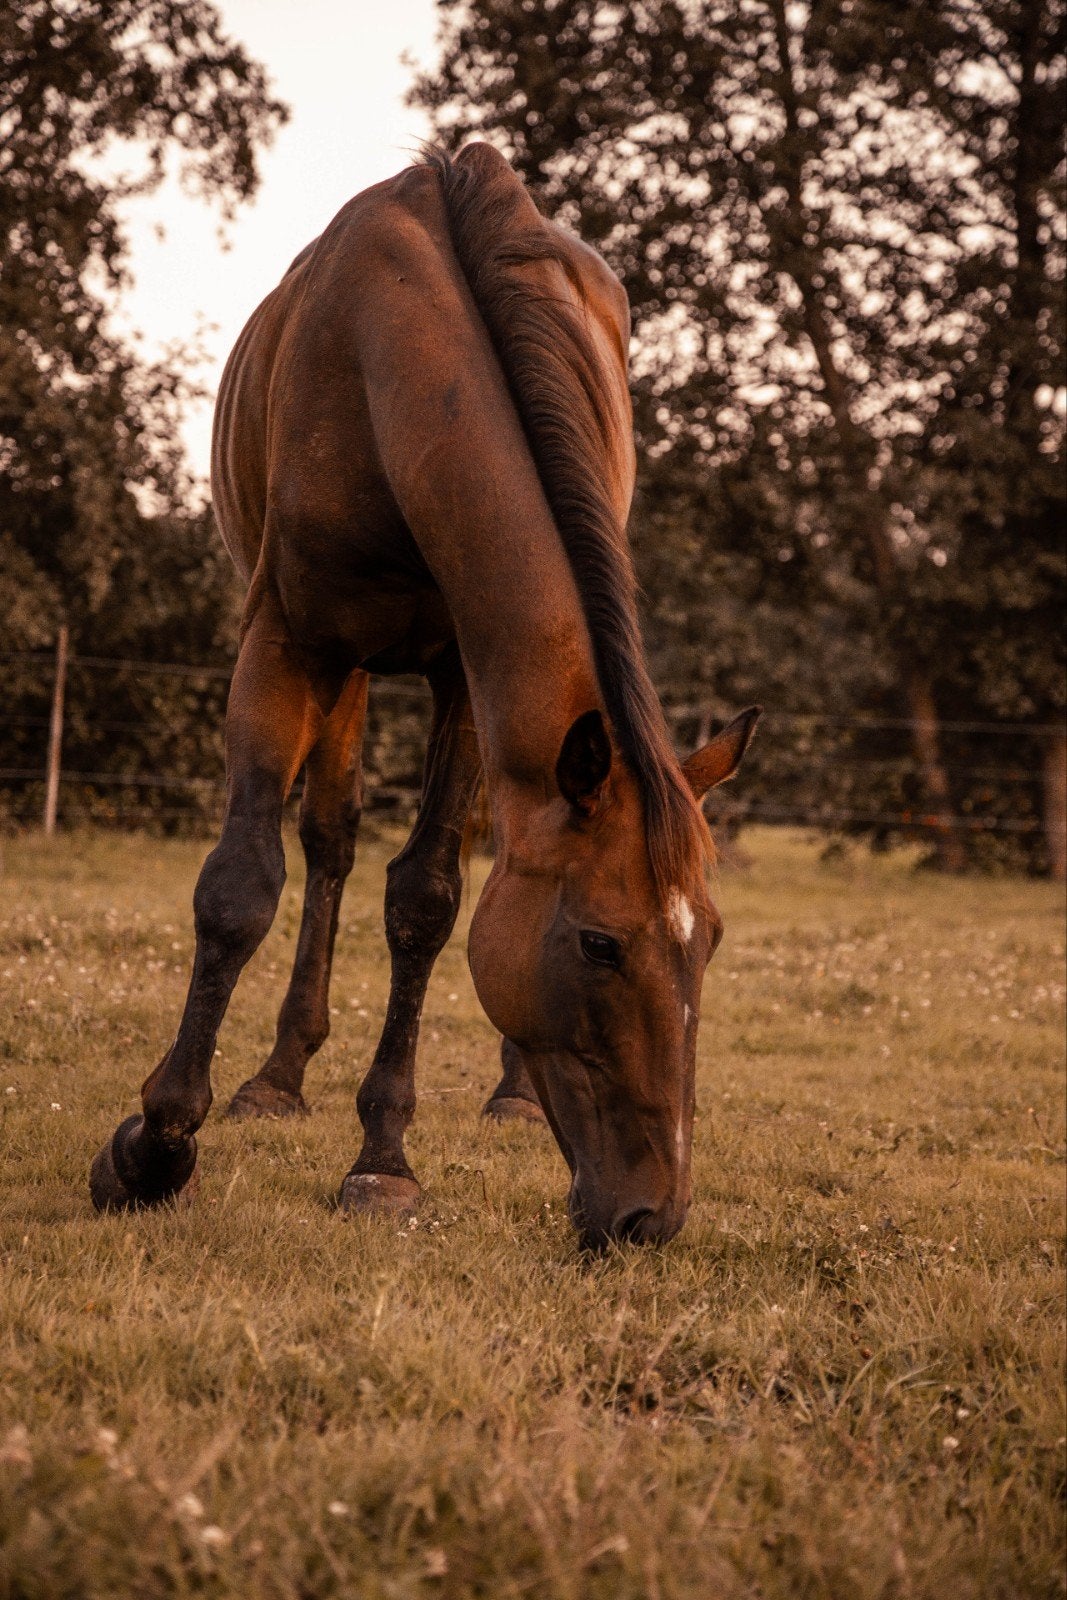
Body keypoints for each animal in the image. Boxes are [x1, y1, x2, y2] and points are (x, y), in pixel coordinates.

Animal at [89, 143, 759, 1250]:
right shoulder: (289, 643)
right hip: (346, 671)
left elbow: (428, 899)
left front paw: (383, 1158)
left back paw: (511, 1094)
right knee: (327, 842)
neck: (394, 366)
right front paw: (155, 1144)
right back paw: (277, 1076)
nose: (650, 1216)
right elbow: (240, 886)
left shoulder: (465, 677)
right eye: (597, 943)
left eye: (704, 938)